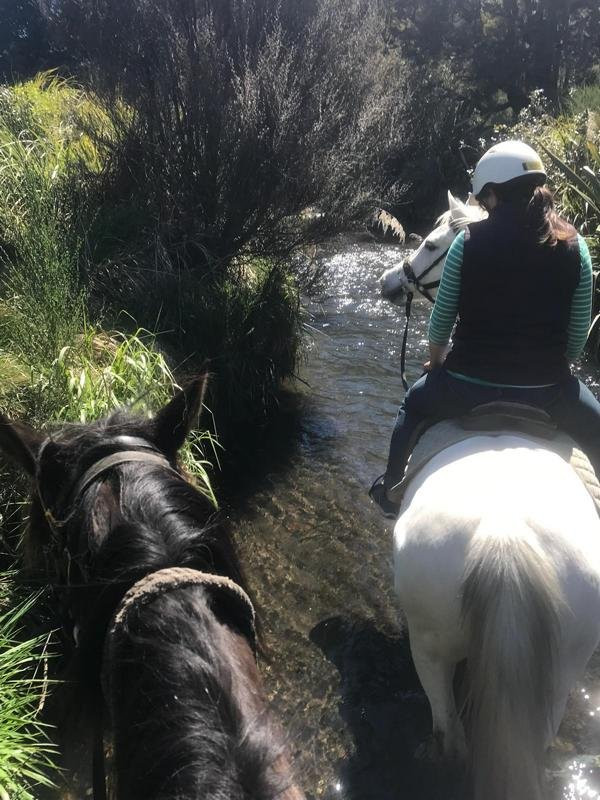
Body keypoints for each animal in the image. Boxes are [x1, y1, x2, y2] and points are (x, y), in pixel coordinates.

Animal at [382, 191, 600, 796]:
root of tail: (504, 539)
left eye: (435, 243)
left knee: (450, 732)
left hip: (430, 646)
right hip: (560, 668)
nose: (390, 283)